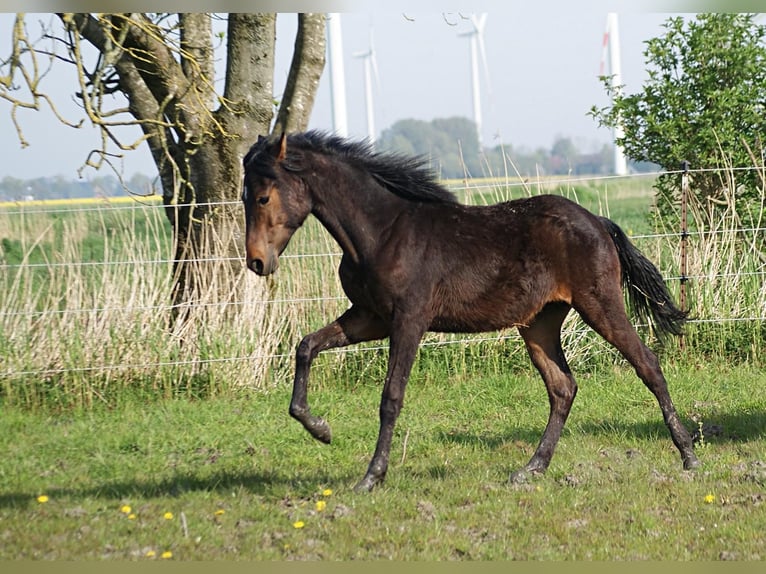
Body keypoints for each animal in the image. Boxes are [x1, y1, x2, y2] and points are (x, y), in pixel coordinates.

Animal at [242, 130, 704, 496]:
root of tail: (596, 220)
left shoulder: (408, 320)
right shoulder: (369, 317)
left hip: (599, 303)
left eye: (264, 196)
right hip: (539, 323)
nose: (257, 263)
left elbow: (391, 397)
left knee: (647, 364)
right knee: (562, 387)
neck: (381, 232)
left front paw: (371, 477)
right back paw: (531, 469)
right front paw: (320, 428)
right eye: (245, 196)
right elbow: (306, 346)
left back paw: (688, 455)